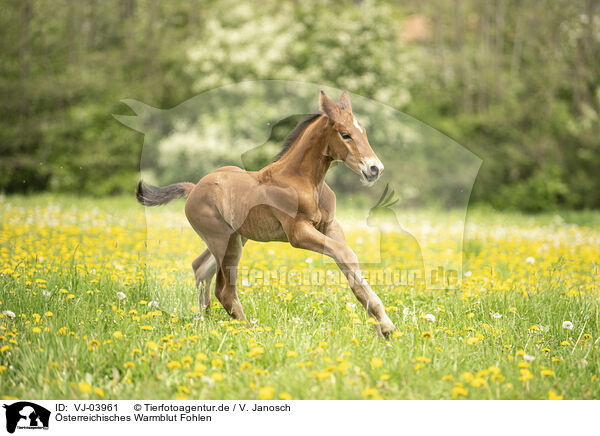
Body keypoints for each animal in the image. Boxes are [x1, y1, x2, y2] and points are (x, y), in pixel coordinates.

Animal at [138, 90, 396, 338]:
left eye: (363, 131)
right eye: (345, 134)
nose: (375, 168)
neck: (303, 180)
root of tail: (193, 189)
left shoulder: (331, 226)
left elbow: (348, 261)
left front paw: (379, 327)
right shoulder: (298, 233)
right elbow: (345, 254)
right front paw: (385, 324)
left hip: (235, 238)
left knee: (200, 268)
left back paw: (202, 323)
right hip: (224, 242)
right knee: (224, 290)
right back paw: (250, 333)